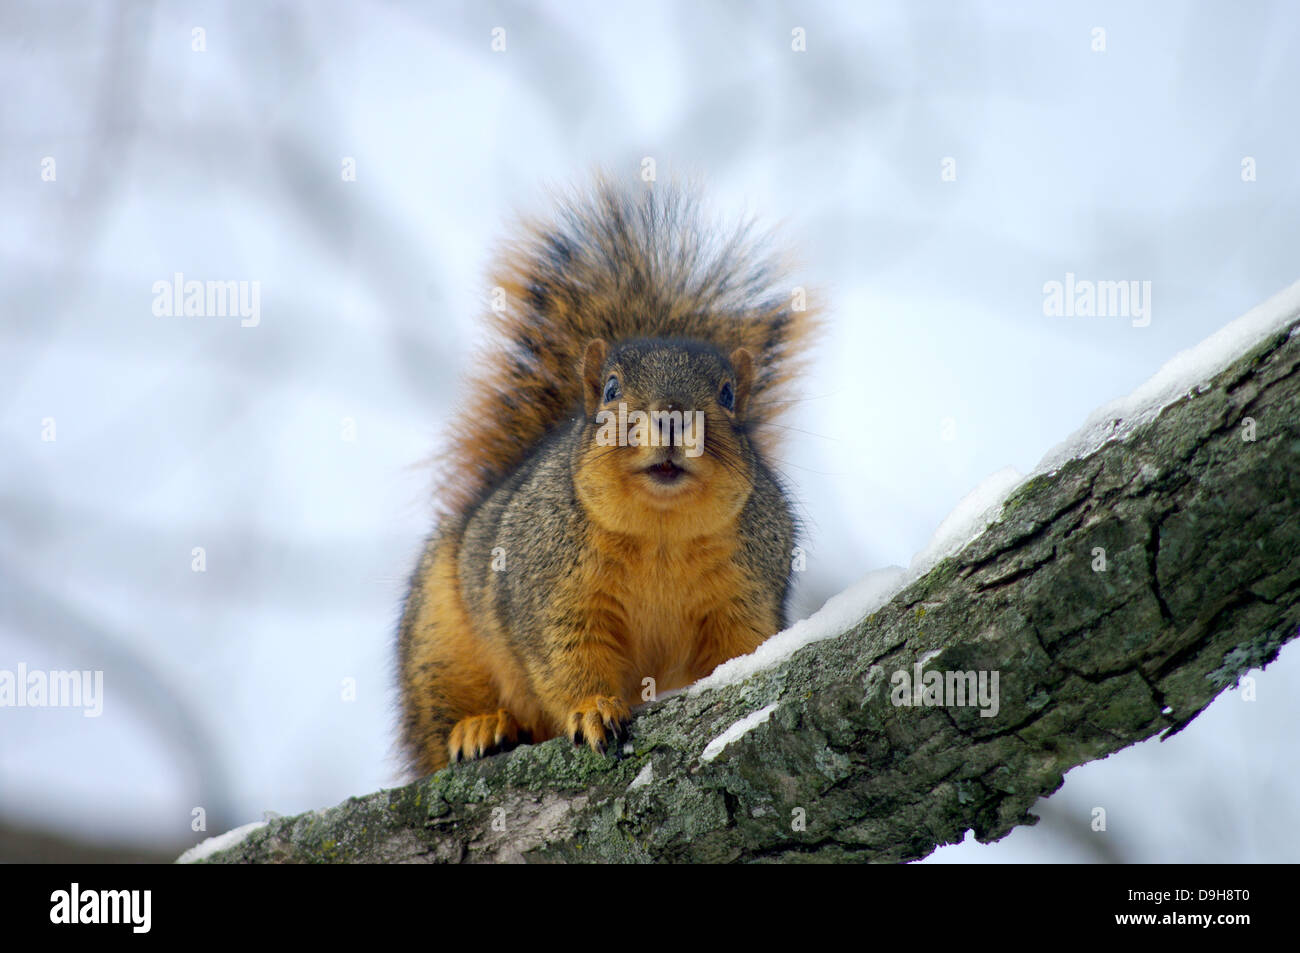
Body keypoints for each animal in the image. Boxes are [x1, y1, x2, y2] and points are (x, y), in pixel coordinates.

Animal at [397, 176, 821, 774]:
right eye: (612, 389)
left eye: (728, 395)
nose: (672, 417)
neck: (660, 533)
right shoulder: (552, 593)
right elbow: (566, 660)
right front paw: (594, 710)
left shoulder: (746, 592)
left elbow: (740, 647)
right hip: (437, 641)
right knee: (439, 728)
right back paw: (480, 728)